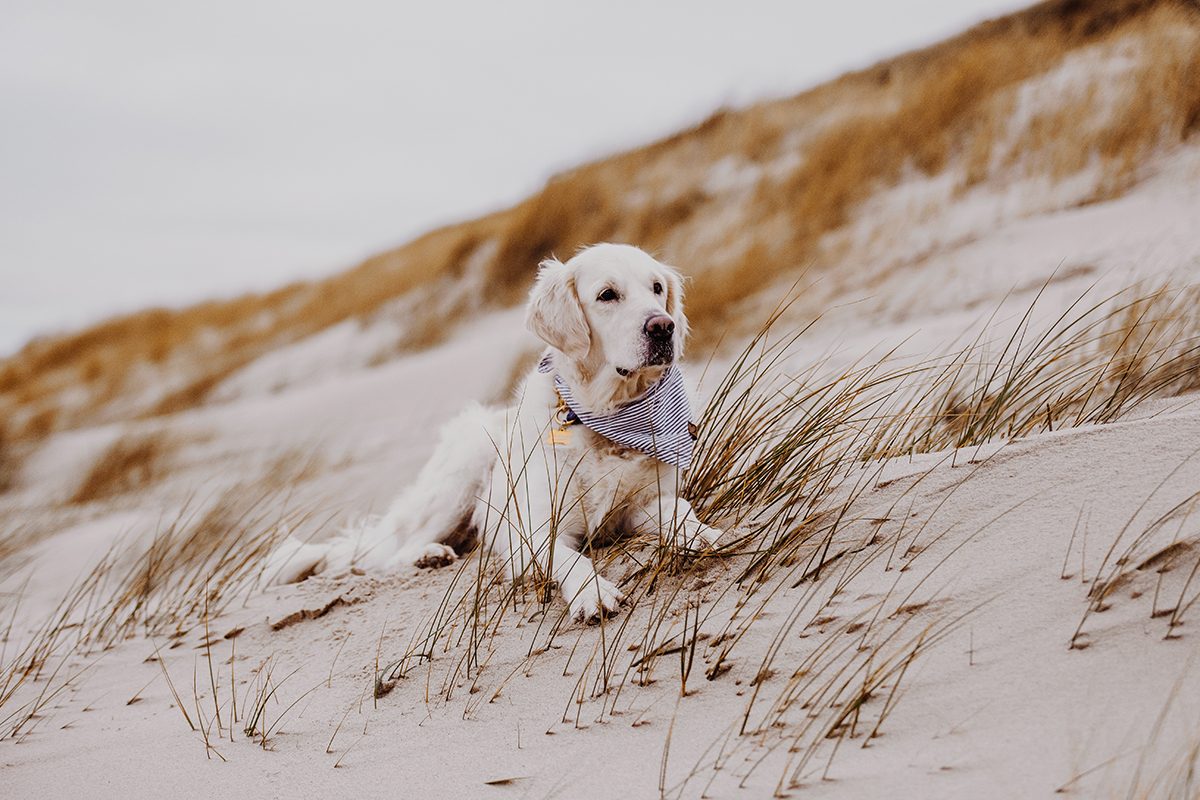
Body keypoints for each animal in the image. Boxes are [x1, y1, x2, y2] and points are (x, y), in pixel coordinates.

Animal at [267, 242, 720, 618]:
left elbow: (679, 510)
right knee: (391, 554)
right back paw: (428, 554)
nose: (663, 327)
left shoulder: (642, 502)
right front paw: (593, 593)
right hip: (462, 474)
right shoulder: (532, 531)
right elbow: (570, 559)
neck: (607, 418)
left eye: (657, 288)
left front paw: (702, 534)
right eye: (607, 295)